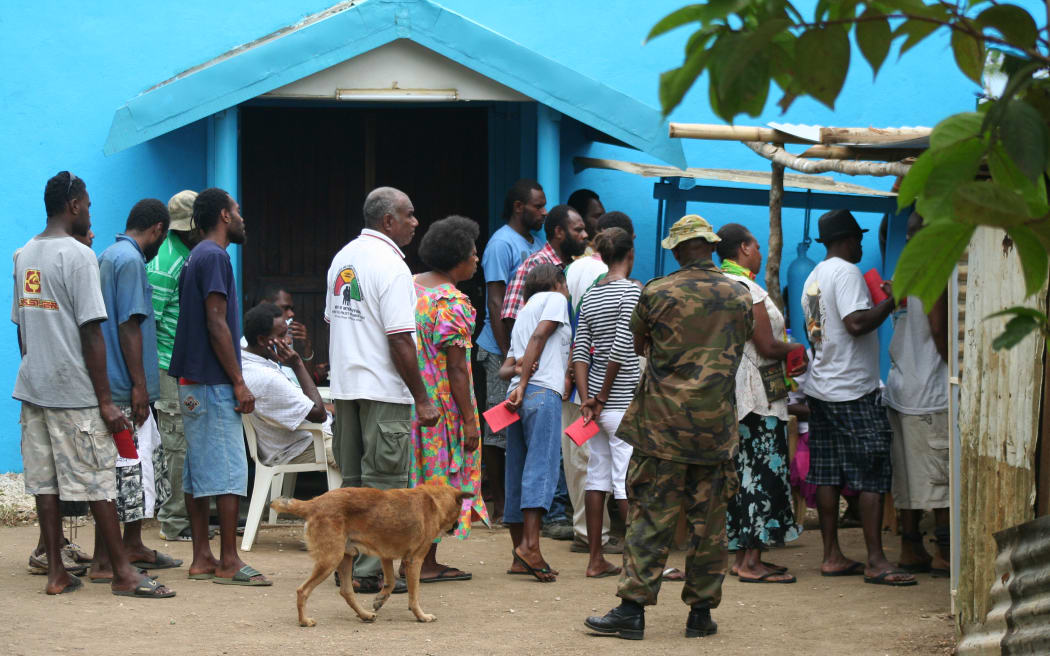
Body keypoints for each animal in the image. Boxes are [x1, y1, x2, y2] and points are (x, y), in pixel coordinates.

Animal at [270, 482, 472, 625]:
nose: (456, 528)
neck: (433, 502)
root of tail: (314, 503)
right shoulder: (414, 561)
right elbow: (414, 595)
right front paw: (421, 616)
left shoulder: (386, 556)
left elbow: (390, 582)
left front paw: (380, 599)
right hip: (330, 560)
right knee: (302, 590)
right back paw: (304, 621)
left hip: (345, 558)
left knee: (346, 591)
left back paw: (365, 615)